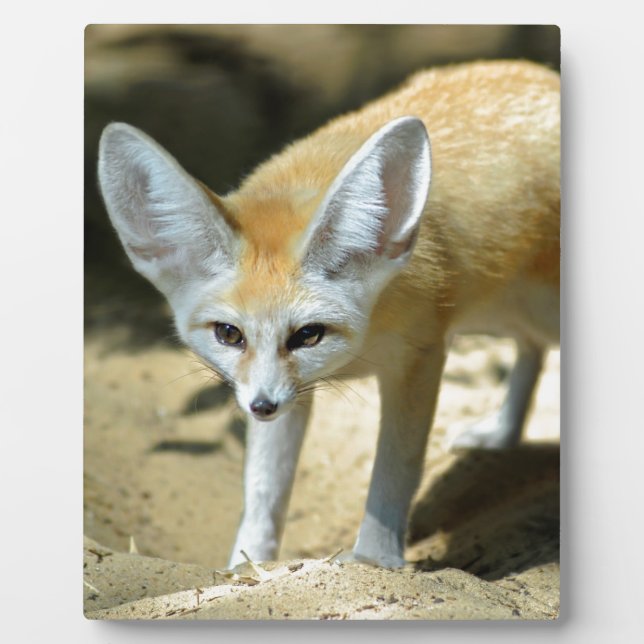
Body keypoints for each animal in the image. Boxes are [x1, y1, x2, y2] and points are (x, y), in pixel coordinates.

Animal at [97, 59, 560, 570]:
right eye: (229, 334)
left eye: (308, 335)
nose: (261, 407)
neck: (364, 342)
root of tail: (537, 74)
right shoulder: (287, 393)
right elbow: (264, 491)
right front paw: (246, 567)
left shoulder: (420, 357)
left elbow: (394, 471)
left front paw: (375, 560)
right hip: (497, 313)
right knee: (532, 347)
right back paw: (504, 431)